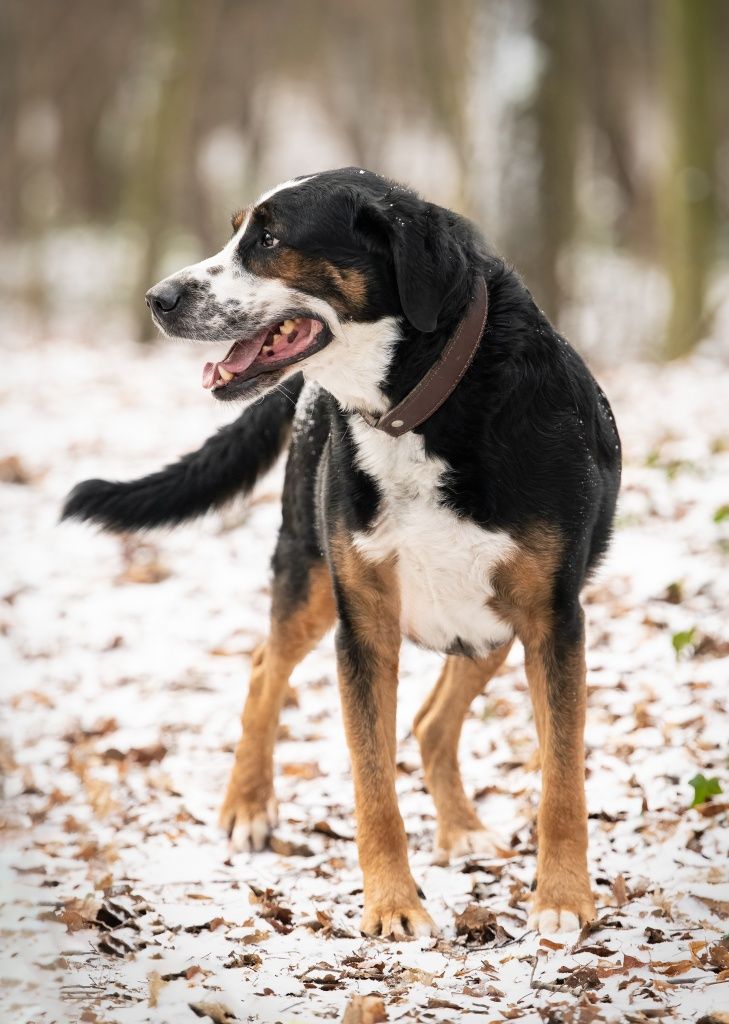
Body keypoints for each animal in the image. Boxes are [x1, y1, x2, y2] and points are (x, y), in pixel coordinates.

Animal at [63, 169, 622, 942]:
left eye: (269, 238)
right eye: (237, 230)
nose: (159, 298)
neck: (420, 408)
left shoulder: (553, 621)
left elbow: (562, 778)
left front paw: (563, 900)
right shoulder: (363, 624)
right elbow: (372, 783)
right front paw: (393, 905)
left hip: (490, 626)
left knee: (431, 723)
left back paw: (461, 831)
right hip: (311, 577)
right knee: (265, 669)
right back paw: (248, 806)